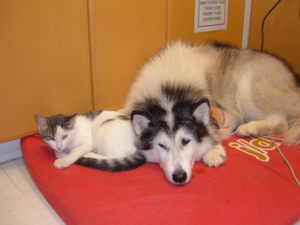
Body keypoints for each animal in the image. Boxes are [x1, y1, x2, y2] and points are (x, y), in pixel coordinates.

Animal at [122, 40, 300, 185]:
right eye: (161, 145)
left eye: (186, 141)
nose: (179, 177)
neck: (170, 91)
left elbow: (213, 130)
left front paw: (213, 152)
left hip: (247, 86)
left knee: (281, 121)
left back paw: (250, 128)